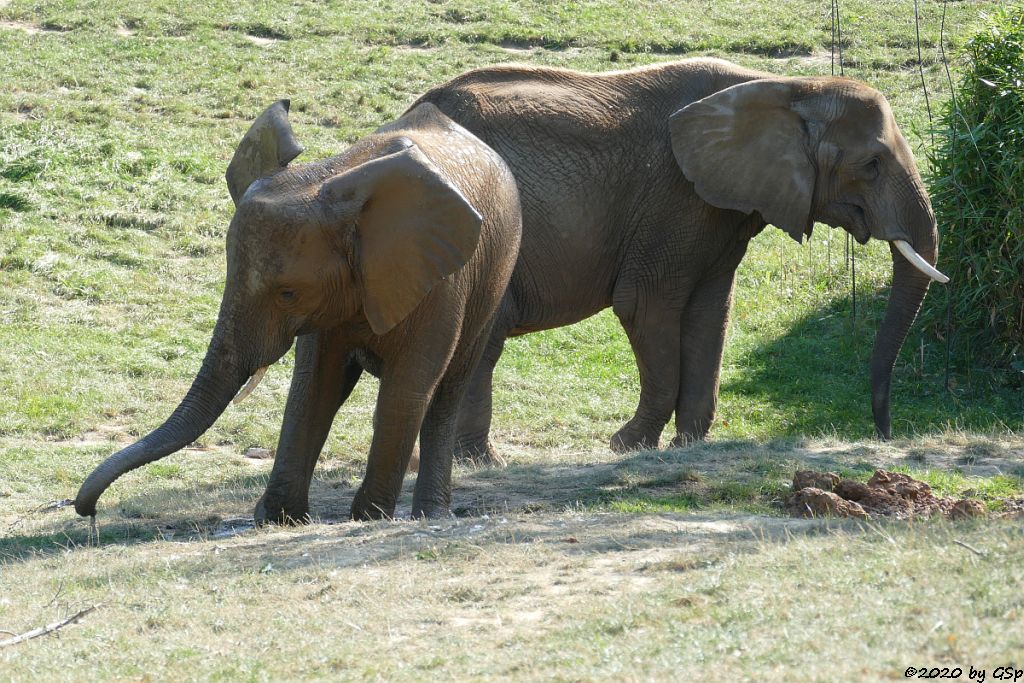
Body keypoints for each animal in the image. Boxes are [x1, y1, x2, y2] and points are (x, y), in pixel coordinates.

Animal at [74, 98, 520, 520]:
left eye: (287, 293)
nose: (88, 510)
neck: (329, 177)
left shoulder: (439, 282)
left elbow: (407, 386)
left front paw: (366, 517)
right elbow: (314, 384)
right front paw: (278, 518)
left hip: (493, 279)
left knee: (448, 390)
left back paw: (430, 513)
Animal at [395, 57, 946, 458]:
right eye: (871, 165)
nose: (883, 432)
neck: (788, 86)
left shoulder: (721, 207)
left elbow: (710, 312)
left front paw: (689, 445)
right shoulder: (674, 198)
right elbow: (646, 305)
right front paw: (627, 446)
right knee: (482, 343)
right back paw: (480, 462)